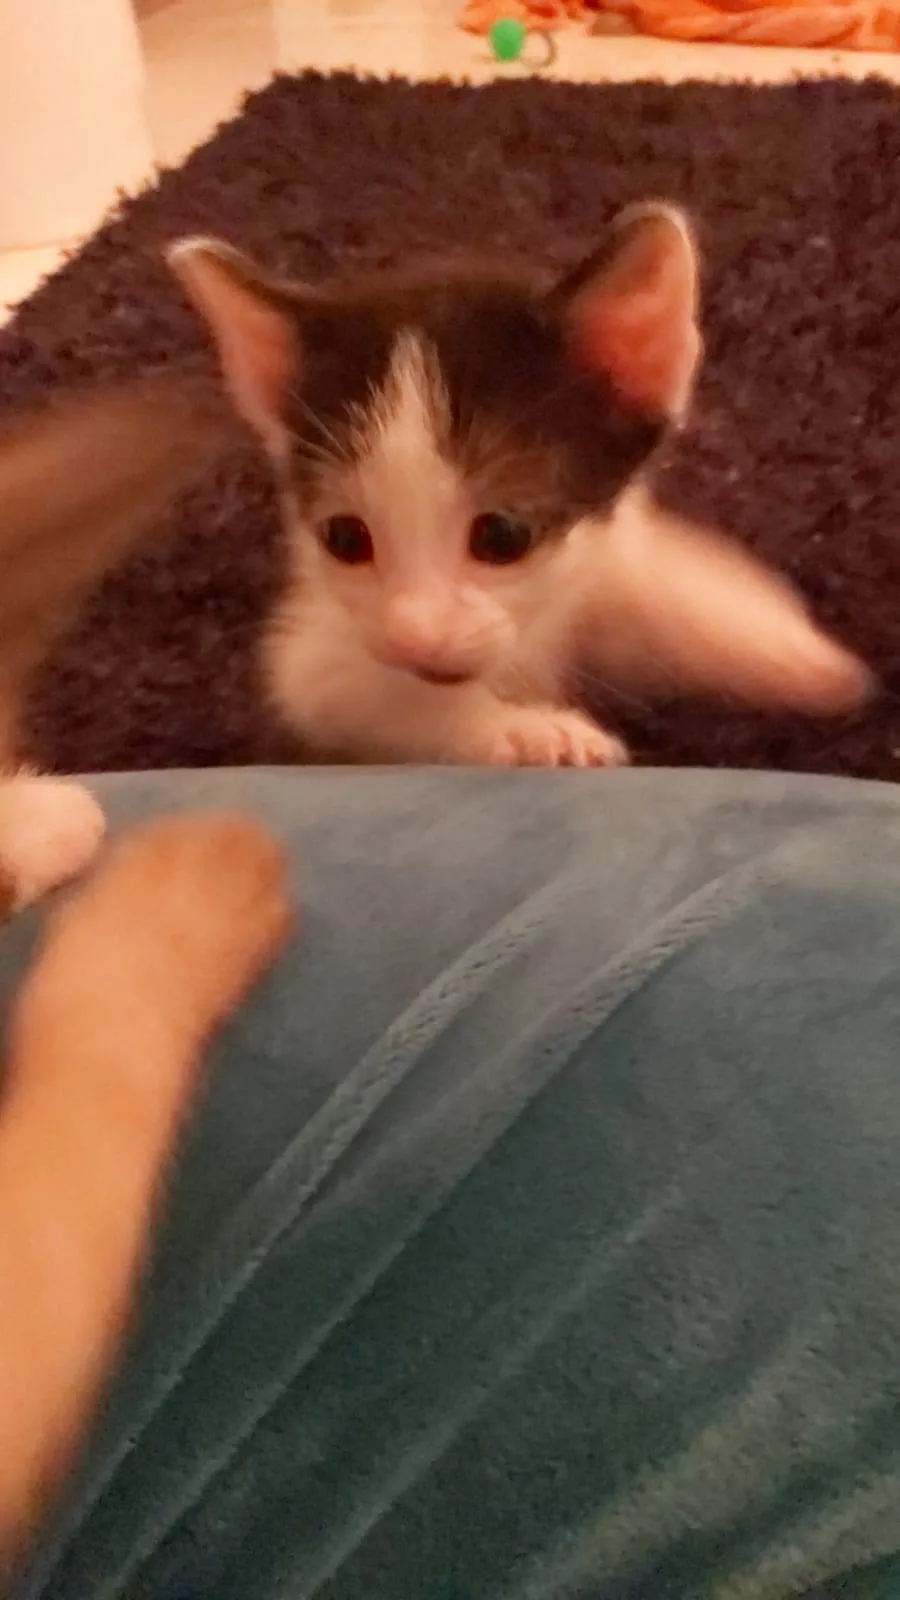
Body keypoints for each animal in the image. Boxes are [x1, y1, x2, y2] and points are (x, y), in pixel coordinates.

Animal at [167, 200, 871, 768]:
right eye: (344, 538)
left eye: (503, 536)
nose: (416, 639)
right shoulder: (309, 665)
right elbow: (364, 694)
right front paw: (526, 732)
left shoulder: (602, 550)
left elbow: (635, 586)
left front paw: (775, 643)